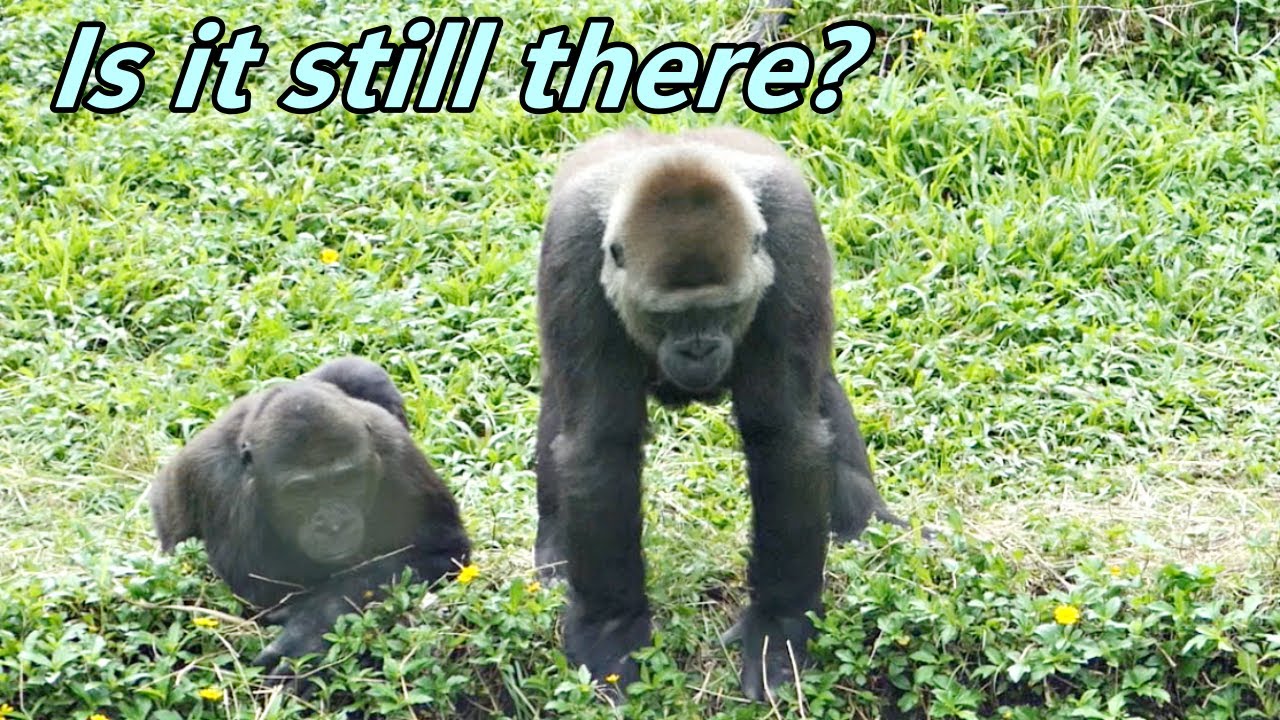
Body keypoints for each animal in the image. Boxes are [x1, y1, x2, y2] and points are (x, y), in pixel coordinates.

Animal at [146, 357, 470, 685]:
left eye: (345, 480)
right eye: (300, 491)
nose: (333, 524)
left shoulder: (397, 454)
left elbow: (440, 553)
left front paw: (314, 625)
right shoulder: (217, 484)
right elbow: (260, 600)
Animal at [533, 126, 911, 701]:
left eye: (723, 310)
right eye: (666, 318)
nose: (698, 350)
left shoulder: (790, 228)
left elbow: (784, 434)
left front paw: (778, 625)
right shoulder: (573, 243)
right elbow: (600, 445)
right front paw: (611, 628)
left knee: (820, 391)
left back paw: (865, 522)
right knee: (562, 403)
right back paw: (554, 542)